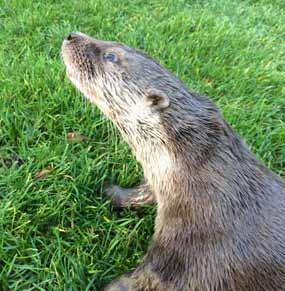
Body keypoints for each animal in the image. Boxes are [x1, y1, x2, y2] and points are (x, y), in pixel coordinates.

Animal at [61, 32, 284, 291]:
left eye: (111, 56)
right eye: (117, 43)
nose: (72, 36)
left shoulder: (193, 251)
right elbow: (142, 192)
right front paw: (112, 192)